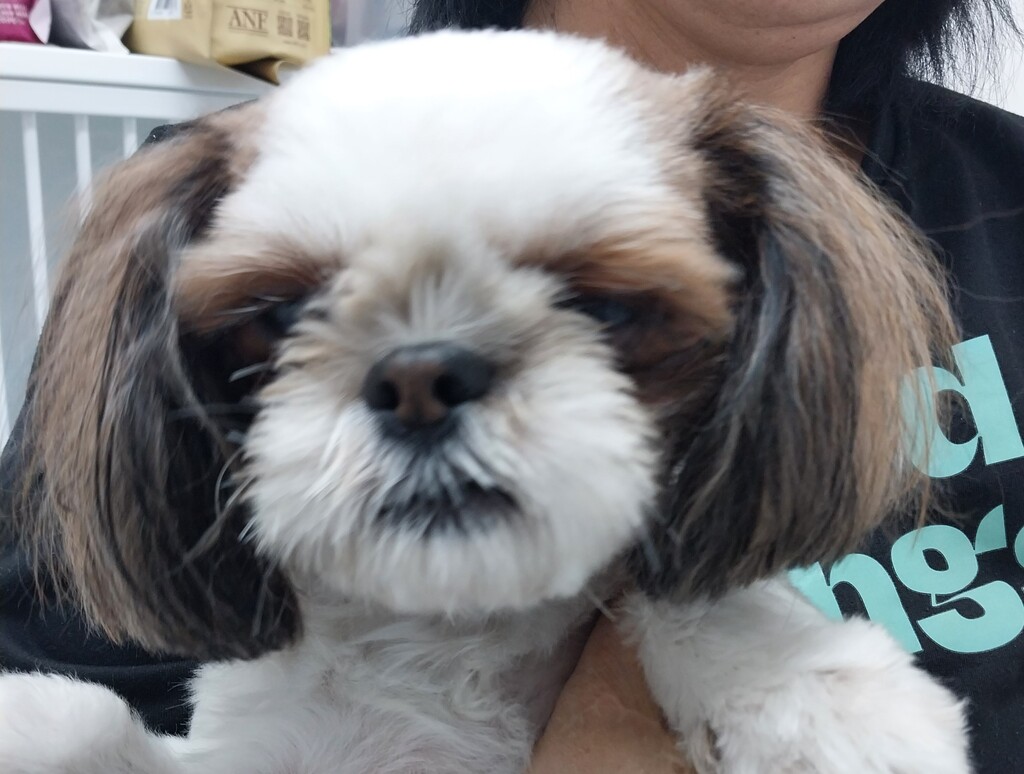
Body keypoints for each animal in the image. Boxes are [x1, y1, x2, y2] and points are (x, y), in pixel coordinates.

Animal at [0, 30, 971, 773]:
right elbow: (87, 722)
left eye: (602, 308)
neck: (447, 631)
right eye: (281, 315)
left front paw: (804, 687)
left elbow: (700, 594)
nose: (419, 380)